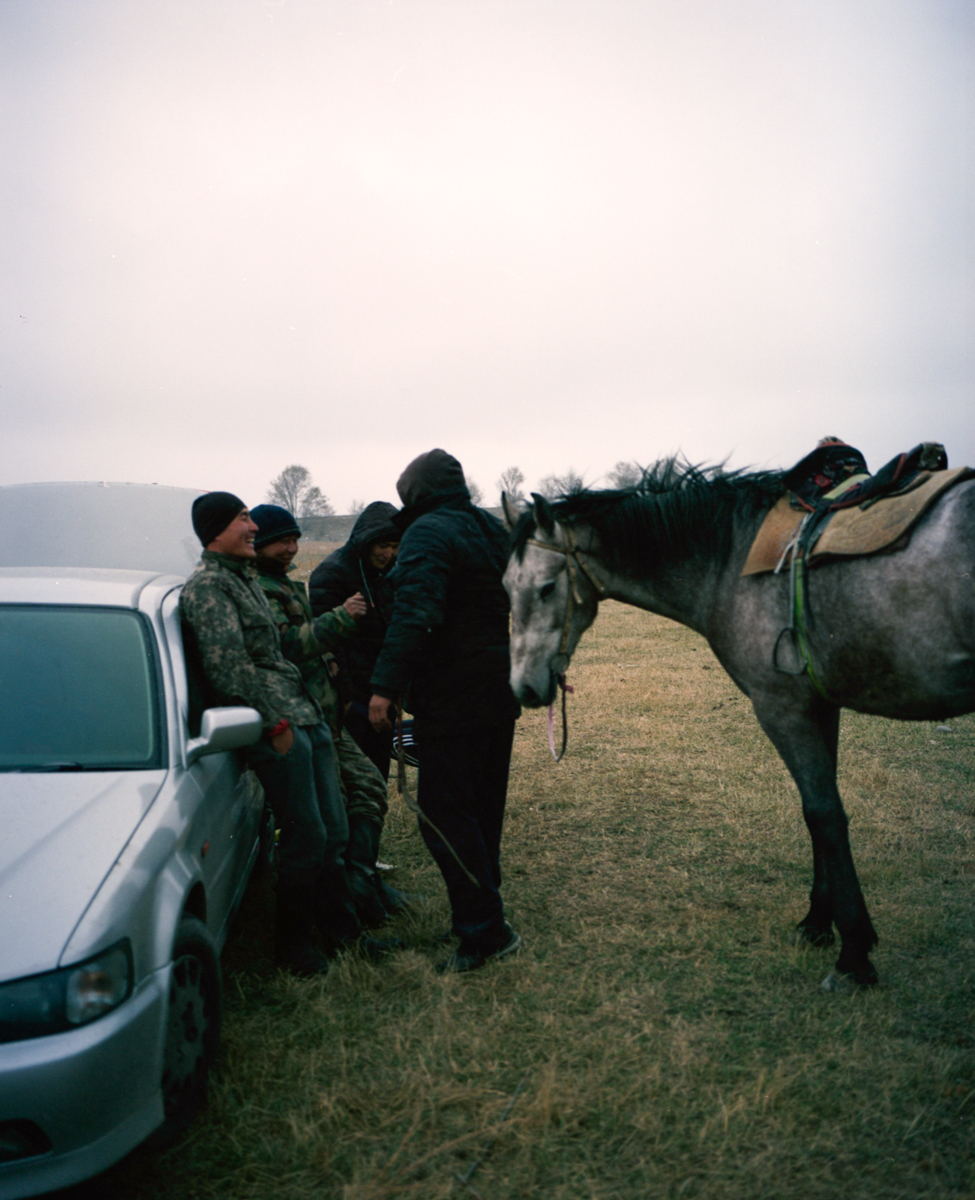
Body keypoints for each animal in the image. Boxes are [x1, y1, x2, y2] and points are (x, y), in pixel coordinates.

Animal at [502, 460, 975, 990]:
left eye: (546, 587)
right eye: (506, 588)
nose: (523, 688)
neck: (729, 559)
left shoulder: (782, 709)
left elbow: (823, 816)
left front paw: (853, 954)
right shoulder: (818, 706)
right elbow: (823, 812)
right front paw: (818, 923)